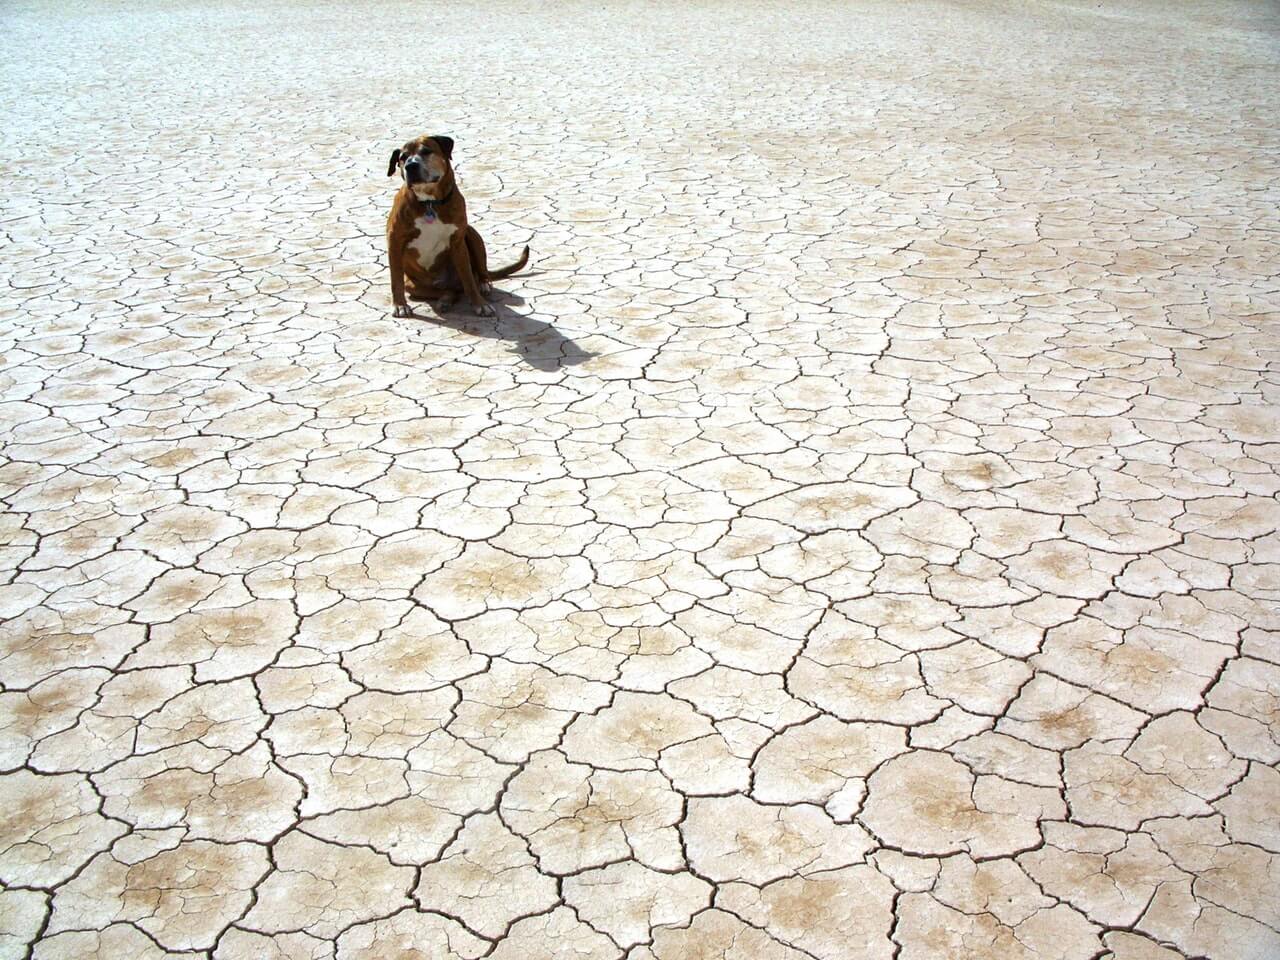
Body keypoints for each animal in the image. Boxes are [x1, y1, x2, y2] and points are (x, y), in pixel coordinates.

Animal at [386, 134, 532, 320]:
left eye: (426, 151)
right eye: (402, 157)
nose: (410, 166)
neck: (429, 202)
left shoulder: (457, 242)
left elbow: (468, 279)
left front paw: (480, 305)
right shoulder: (395, 240)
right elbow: (395, 278)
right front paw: (400, 305)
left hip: (472, 234)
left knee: (478, 275)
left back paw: (483, 284)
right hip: (414, 286)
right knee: (450, 291)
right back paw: (445, 300)